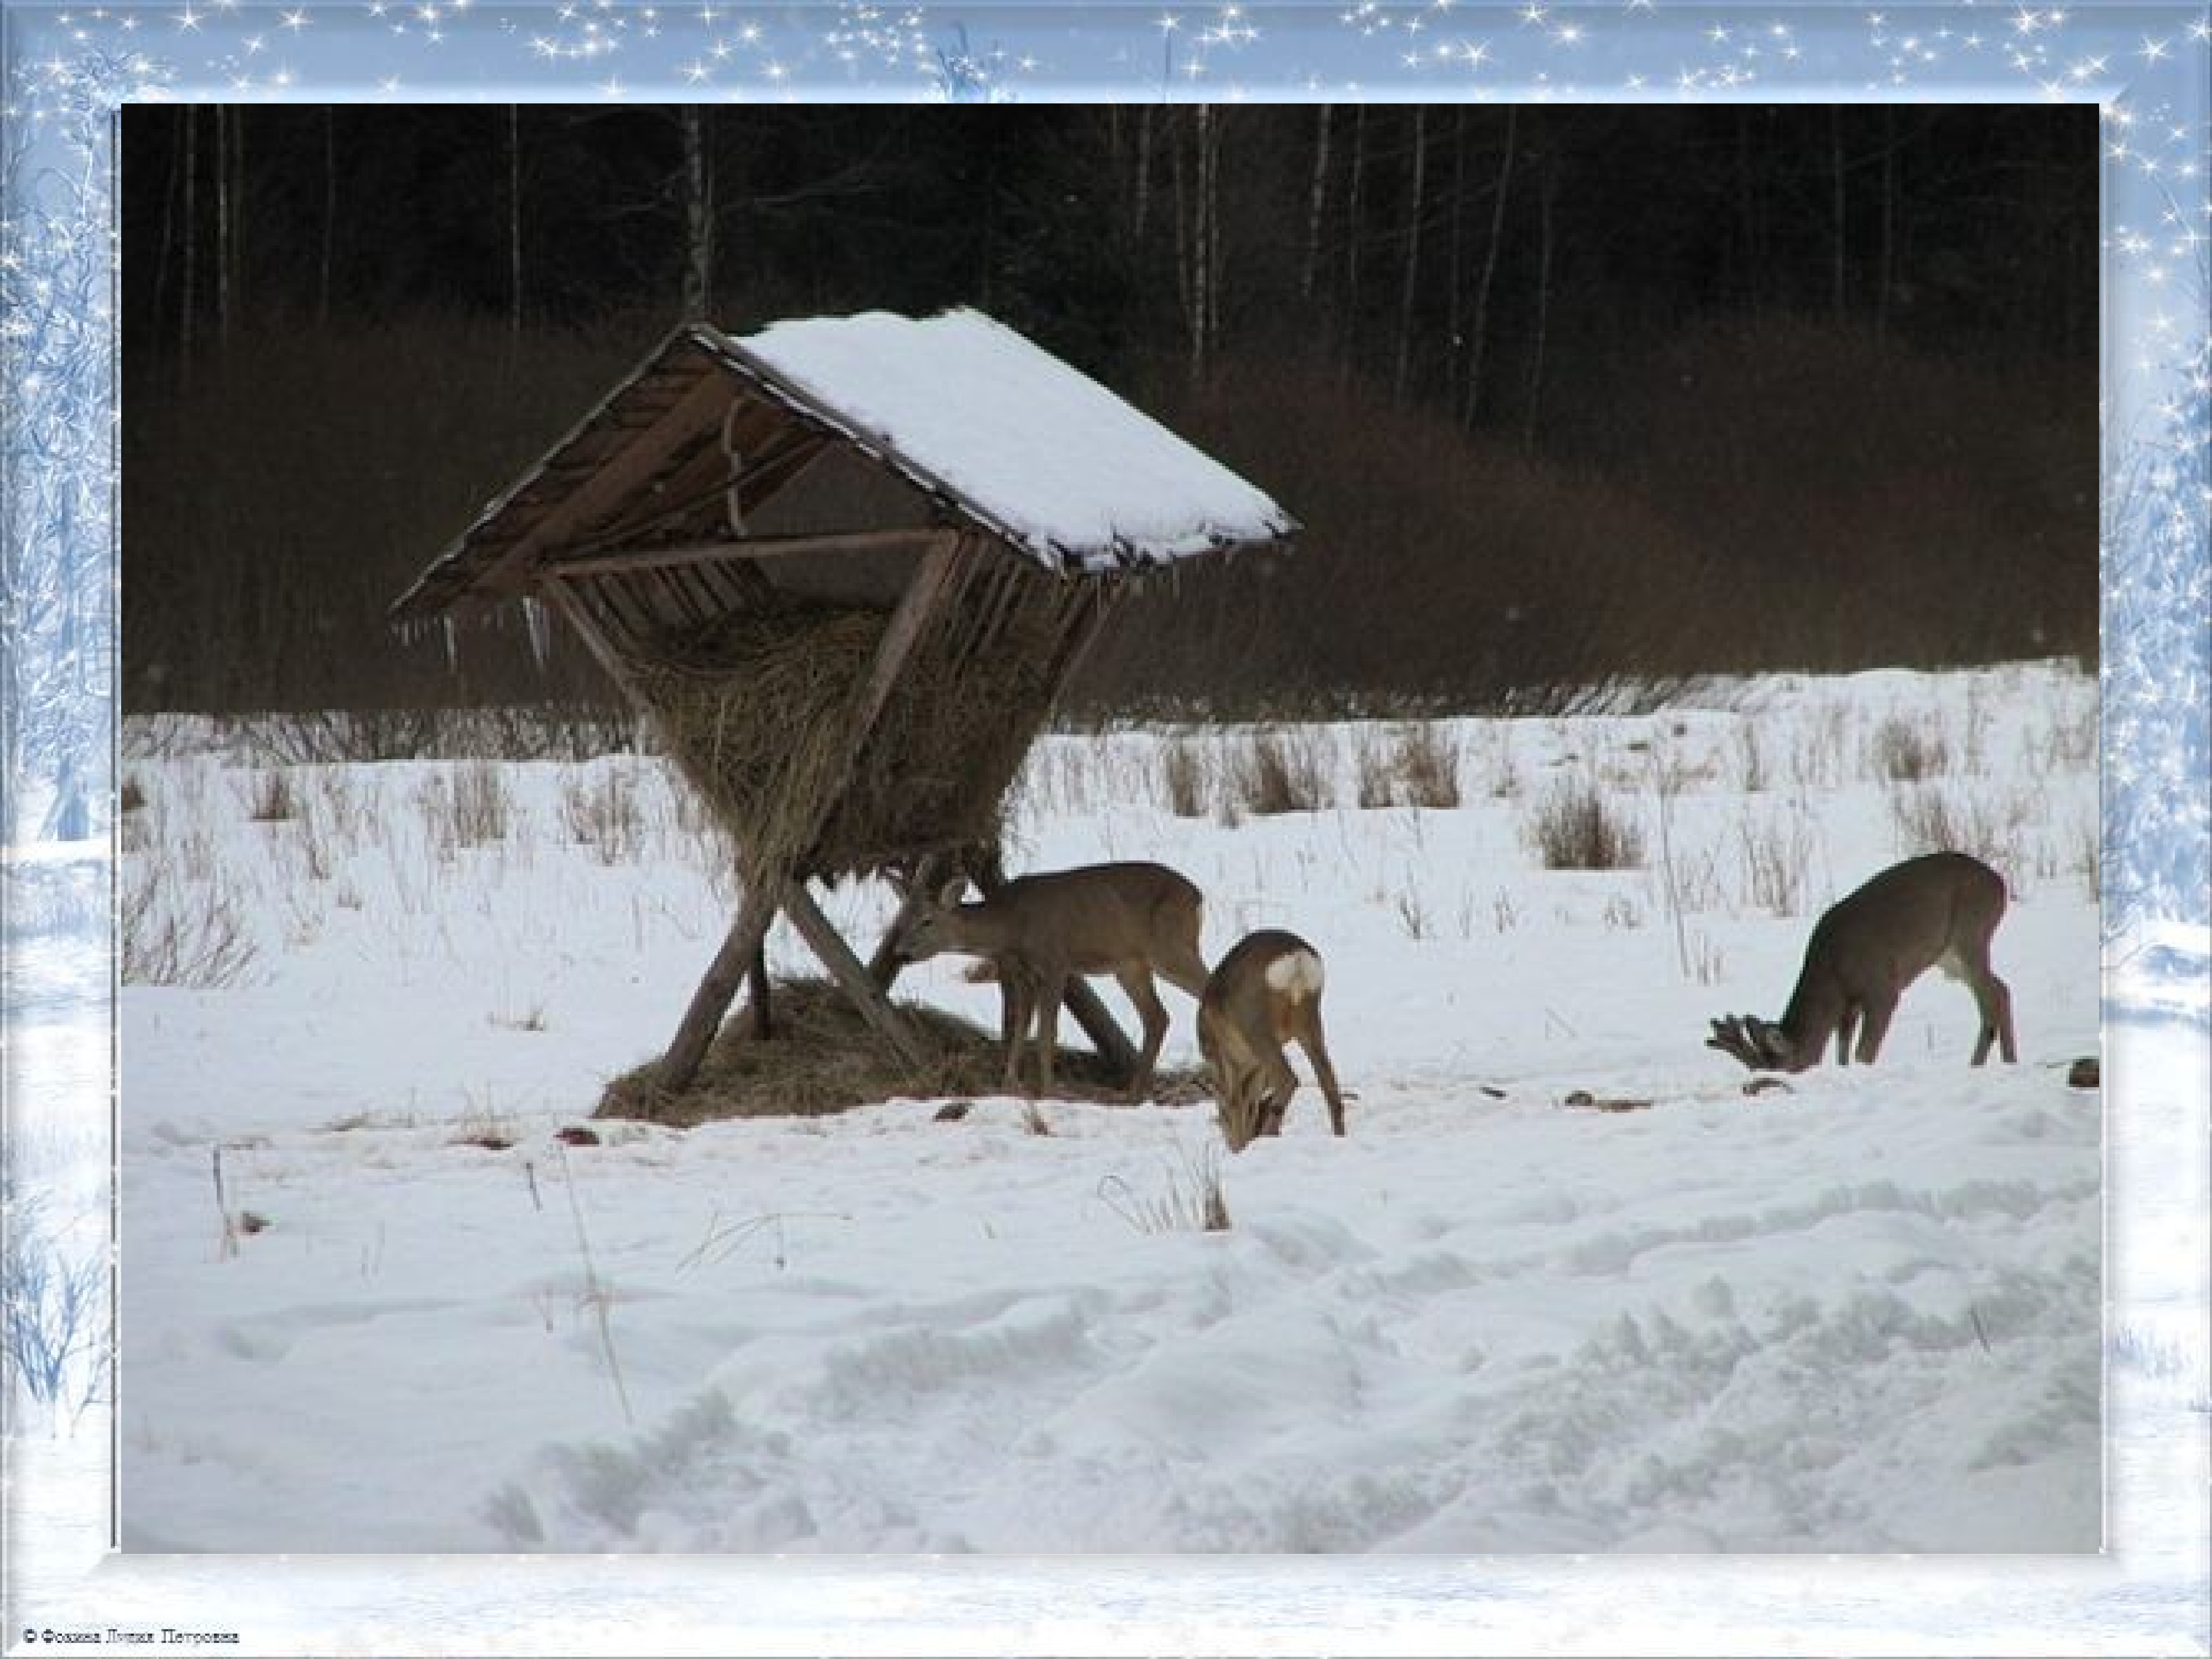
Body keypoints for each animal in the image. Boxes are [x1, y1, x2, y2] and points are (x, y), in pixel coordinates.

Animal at [889, 858, 1212, 1106]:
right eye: (901, 918)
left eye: (928, 920)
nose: (901, 953)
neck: (1012, 927)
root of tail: (1197, 895)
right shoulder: (1025, 975)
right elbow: (1019, 1031)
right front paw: (1009, 1086)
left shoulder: (1056, 963)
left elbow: (1047, 1034)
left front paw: (1048, 1092)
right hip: (1130, 965)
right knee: (1157, 1016)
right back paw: (1133, 1095)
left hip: (1170, 946)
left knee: (1204, 988)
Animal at [1194, 938, 1345, 1159]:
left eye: (1221, 1114)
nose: (1233, 1147)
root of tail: (1296, 956)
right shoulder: (1256, 1066)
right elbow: (1252, 1099)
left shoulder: (1222, 1056)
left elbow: (1236, 1100)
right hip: (1309, 1017)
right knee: (1329, 1081)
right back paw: (1339, 1137)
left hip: (1254, 1022)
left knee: (1288, 1078)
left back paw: (1270, 1135)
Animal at [1708, 858, 2026, 1079]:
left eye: (1783, 1067)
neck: (1833, 975)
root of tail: (2000, 883)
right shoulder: (1848, 1006)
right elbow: (1843, 1053)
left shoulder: (1882, 988)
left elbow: (1864, 1053)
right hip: (1949, 956)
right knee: (2000, 988)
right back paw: (1993, 1062)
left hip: (1971, 932)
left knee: (1994, 993)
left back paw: (1995, 1062)